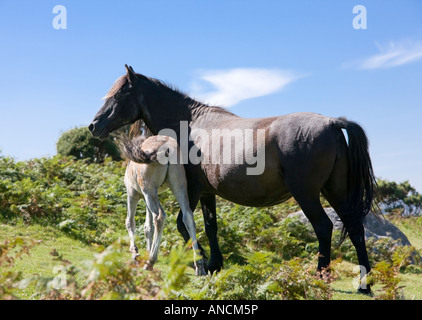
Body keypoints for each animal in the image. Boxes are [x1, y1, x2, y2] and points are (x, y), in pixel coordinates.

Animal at [90, 65, 380, 296]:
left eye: (118, 95)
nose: (94, 125)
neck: (190, 124)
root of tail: (333, 123)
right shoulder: (207, 193)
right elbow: (210, 227)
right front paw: (214, 264)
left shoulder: (192, 190)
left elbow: (184, 225)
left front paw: (201, 263)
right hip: (336, 191)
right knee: (355, 229)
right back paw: (363, 286)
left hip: (307, 194)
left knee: (323, 228)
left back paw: (320, 276)